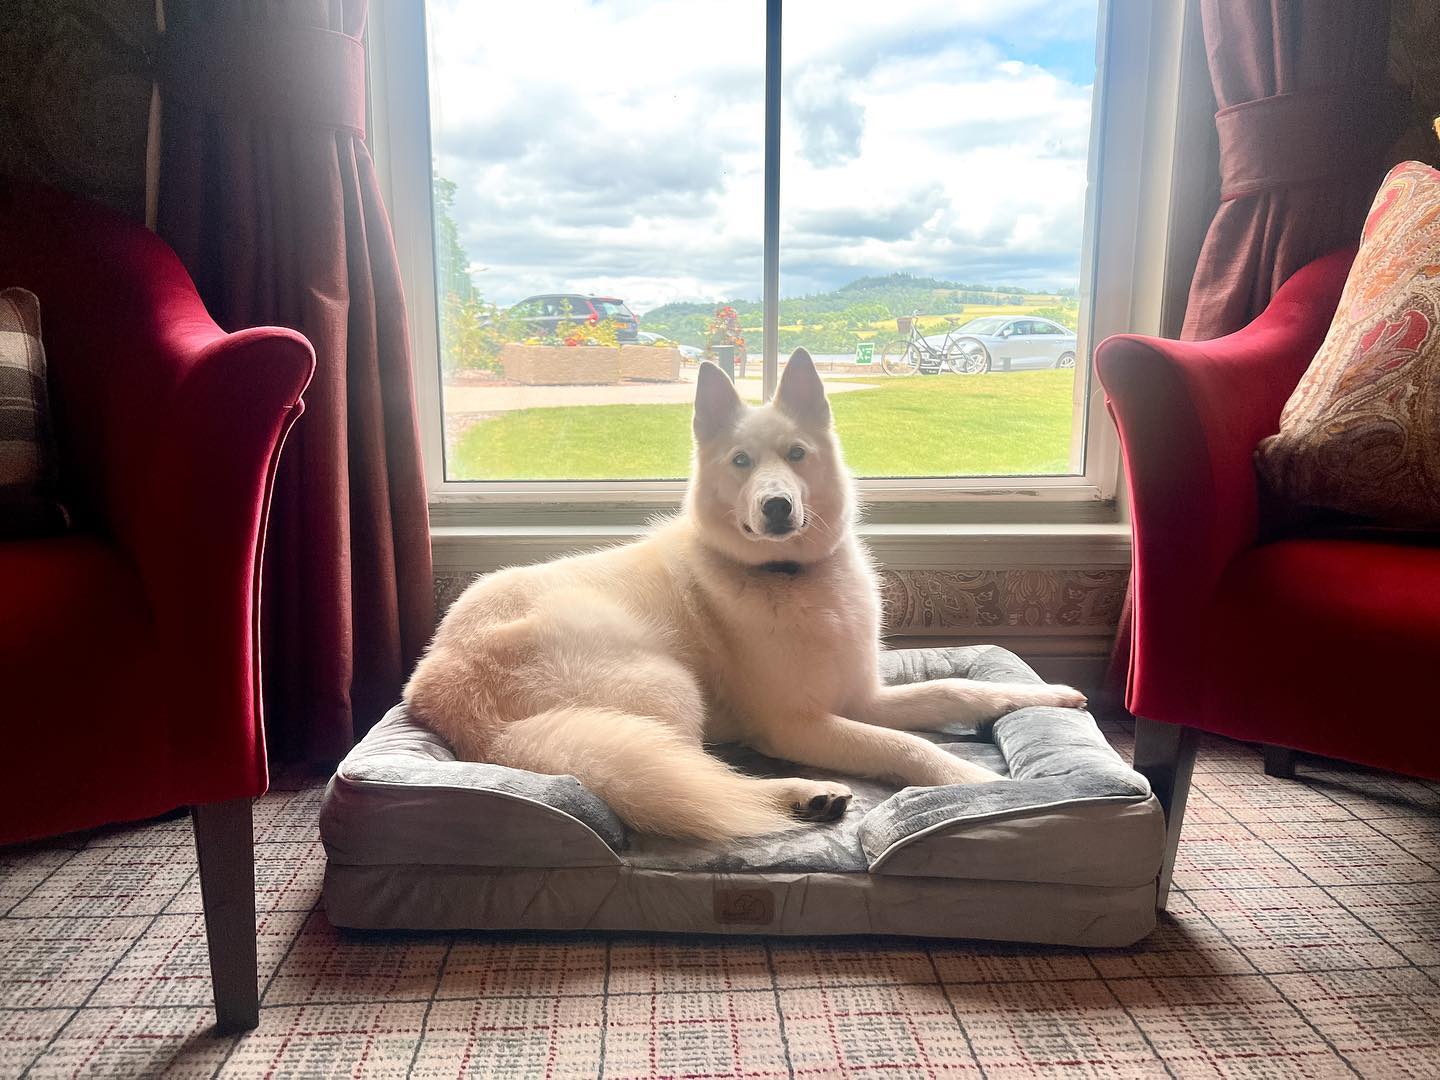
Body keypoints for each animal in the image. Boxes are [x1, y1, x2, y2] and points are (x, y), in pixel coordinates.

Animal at [406, 351, 1082, 840]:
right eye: (739, 461)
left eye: (796, 454)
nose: (776, 506)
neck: (789, 576)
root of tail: (442, 684)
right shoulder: (795, 726)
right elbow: (906, 743)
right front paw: (971, 780)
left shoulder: (861, 697)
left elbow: (953, 688)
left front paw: (1047, 694)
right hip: (668, 687)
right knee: (699, 778)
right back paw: (799, 795)